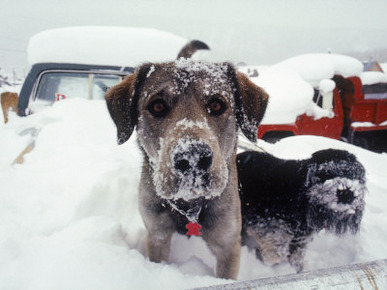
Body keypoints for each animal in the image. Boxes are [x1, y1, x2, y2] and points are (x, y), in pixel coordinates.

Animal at [106, 57, 270, 278]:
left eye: (216, 104)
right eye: (157, 106)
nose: (192, 157)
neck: (188, 204)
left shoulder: (228, 243)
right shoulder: (157, 233)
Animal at [236, 150, 366, 272]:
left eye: (355, 176)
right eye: (327, 173)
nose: (347, 192)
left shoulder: (300, 239)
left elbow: (297, 255)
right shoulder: (266, 224)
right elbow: (276, 251)